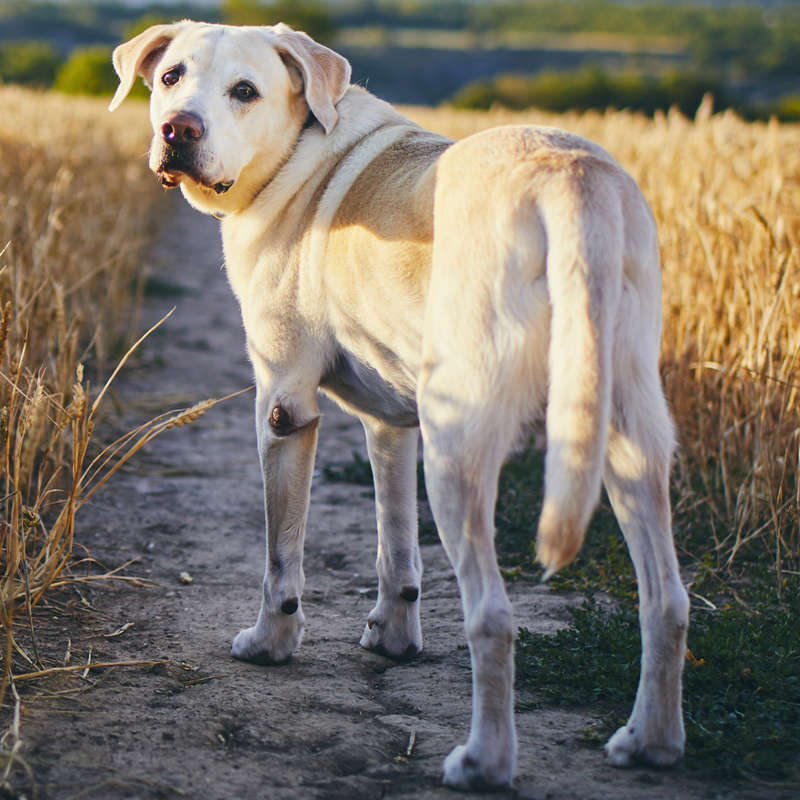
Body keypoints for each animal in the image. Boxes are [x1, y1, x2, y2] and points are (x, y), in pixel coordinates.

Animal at [109, 21, 692, 792]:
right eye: (171, 76)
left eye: (245, 91)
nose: (178, 129)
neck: (300, 151)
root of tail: (570, 179)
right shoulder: (389, 424)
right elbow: (395, 546)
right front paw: (392, 637)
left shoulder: (284, 406)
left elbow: (280, 557)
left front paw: (271, 643)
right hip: (627, 436)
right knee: (667, 601)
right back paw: (650, 742)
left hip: (456, 451)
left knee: (493, 618)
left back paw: (483, 762)